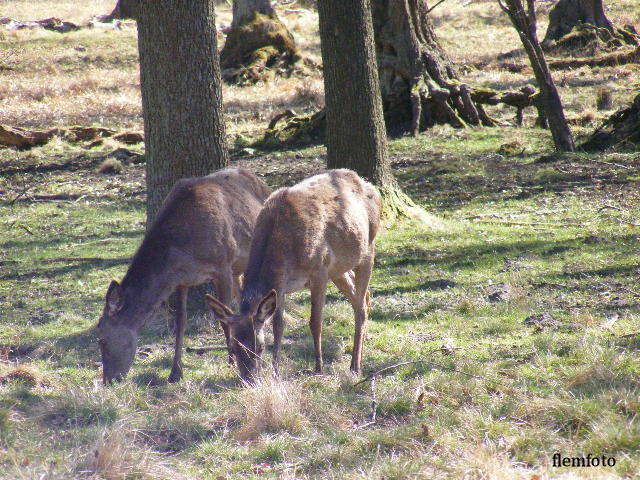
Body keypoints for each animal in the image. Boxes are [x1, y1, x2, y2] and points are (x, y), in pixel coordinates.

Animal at [97, 167, 272, 384]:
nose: (108, 380)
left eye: (102, 341)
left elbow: (224, 318)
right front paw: (175, 372)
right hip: (238, 269)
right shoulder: (181, 281)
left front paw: (231, 362)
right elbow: (180, 322)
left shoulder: (223, 265)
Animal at [208, 169, 382, 382]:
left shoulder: (319, 269)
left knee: (361, 307)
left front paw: (318, 368)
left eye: (260, 347)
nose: (248, 380)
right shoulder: (281, 284)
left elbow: (315, 322)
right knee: (364, 298)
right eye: (233, 347)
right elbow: (278, 326)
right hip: (339, 268)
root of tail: (370, 186)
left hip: (367, 250)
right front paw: (275, 371)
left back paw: (355, 366)